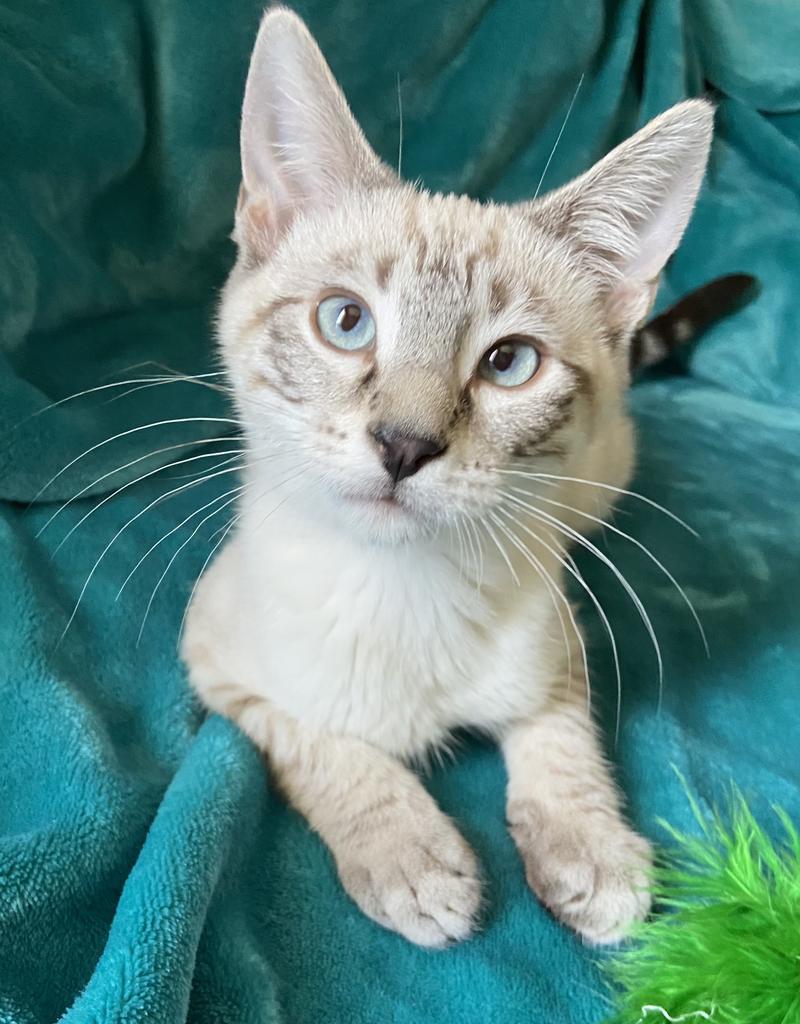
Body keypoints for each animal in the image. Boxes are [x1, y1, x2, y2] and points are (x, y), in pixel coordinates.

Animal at [182, 6, 712, 950]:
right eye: (345, 322)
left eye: (509, 363)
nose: (404, 444)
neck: (397, 589)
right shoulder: (215, 660)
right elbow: (320, 743)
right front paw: (410, 857)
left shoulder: (560, 641)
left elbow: (562, 736)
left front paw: (590, 850)